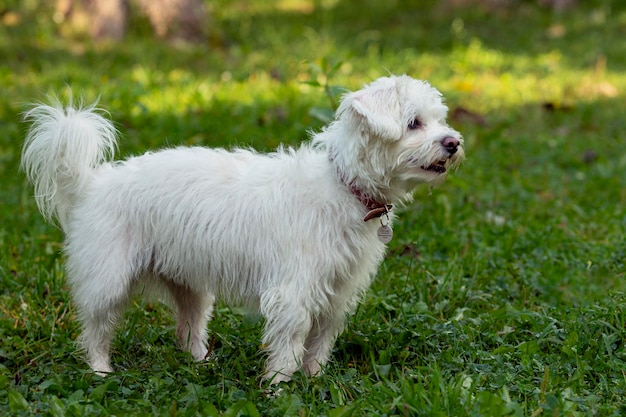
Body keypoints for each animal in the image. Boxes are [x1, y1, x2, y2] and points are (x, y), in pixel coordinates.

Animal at [20, 75, 464, 384]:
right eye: (413, 123)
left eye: (439, 120)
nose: (454, 142)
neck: (344, 185)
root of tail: (92, 183)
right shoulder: (293, 293)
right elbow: (290, 344)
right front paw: (279, 387)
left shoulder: (336, 294)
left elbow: (319, 344)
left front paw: (316, 381)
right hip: (108, 281)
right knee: (96, 331)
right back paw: (101, 372)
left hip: (191, 287)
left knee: (188, 330)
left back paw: (202, 364)